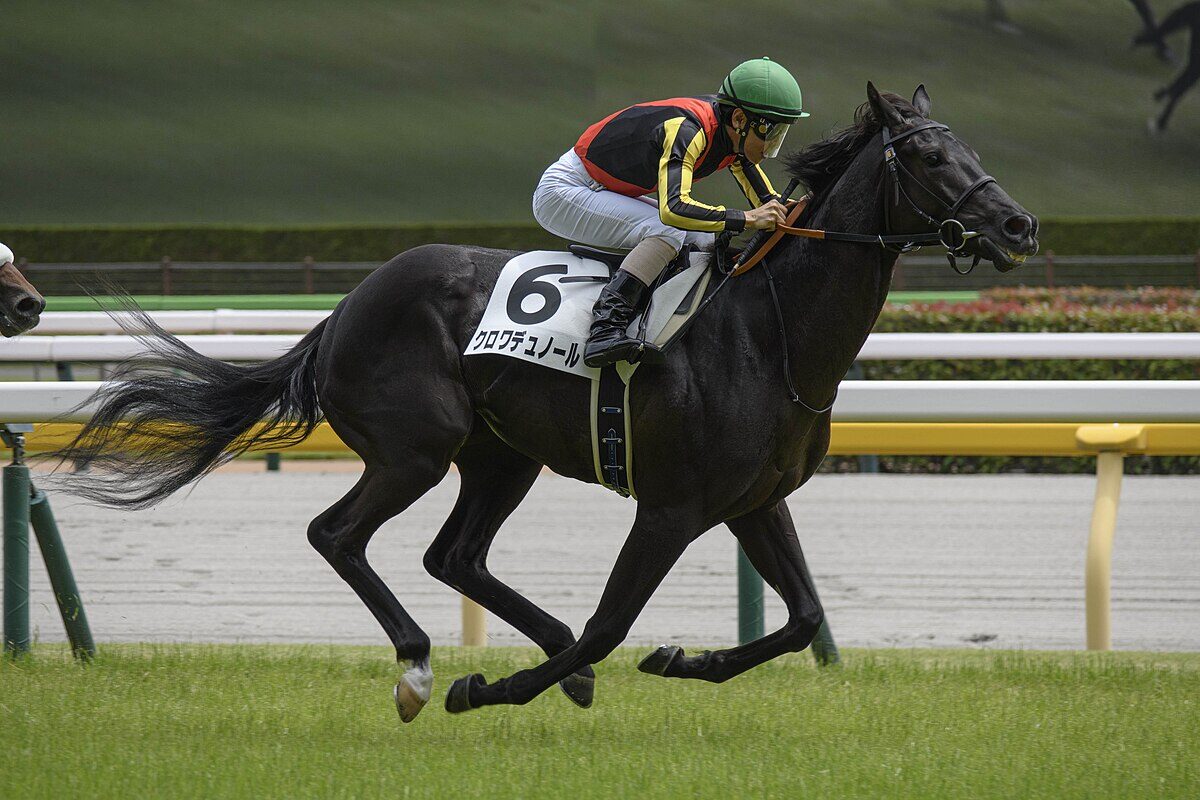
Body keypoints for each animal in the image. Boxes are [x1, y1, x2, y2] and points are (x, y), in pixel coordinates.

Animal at [51, 83, 1038, 723]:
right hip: (417, 447)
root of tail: (347, 305)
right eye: (929, 155)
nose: (1019, 224)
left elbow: (801, 620)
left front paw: (683, 658)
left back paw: (527, 652)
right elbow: (609, 625)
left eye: (975, 151)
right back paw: (420, 670)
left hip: (502, 455)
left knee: (454, 555)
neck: (771, 329)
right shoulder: (673, 507)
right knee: (338, 534)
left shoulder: (755, 501)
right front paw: (485, 687)